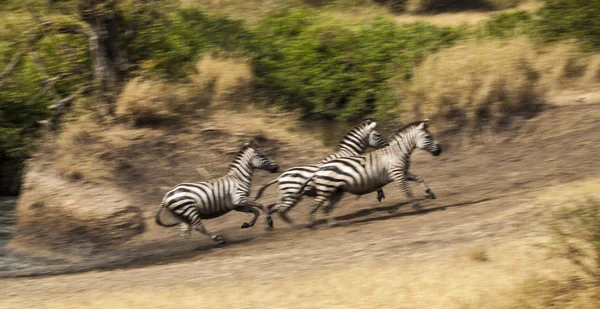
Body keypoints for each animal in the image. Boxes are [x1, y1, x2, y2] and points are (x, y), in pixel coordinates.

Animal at [253, 119, 390, 230]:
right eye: (378, 134)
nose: (388, 145)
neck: (348, 153)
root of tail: (280, 176)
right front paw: (379, 195)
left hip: (287, 196)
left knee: (275, 208)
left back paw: (283, 224)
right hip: (290, 196)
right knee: (278, 209)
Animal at [296, 119, 440, 227]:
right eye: (427, 137)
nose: (440, 150)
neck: (397, 152)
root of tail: (320, 168)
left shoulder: (403, 172)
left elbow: (419, 178)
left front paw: (430, 193)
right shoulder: (398, 175)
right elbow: (407, 192)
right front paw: (418, 207)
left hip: (337, 190)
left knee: (326, 207)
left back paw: (332, 224)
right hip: (327, 189)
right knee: (315, 205)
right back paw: (310, 226)